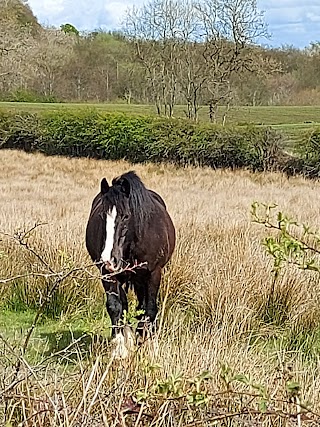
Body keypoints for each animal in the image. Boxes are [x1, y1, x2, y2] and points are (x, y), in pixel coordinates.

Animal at [85, 171, 175, 342]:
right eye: (101, 215)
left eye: (126, 216)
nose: (108, 259)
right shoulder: (107, 274)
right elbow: (115, 306)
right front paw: (120, 343)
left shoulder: (154, 273)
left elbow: (150, 308)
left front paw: (147, 339)